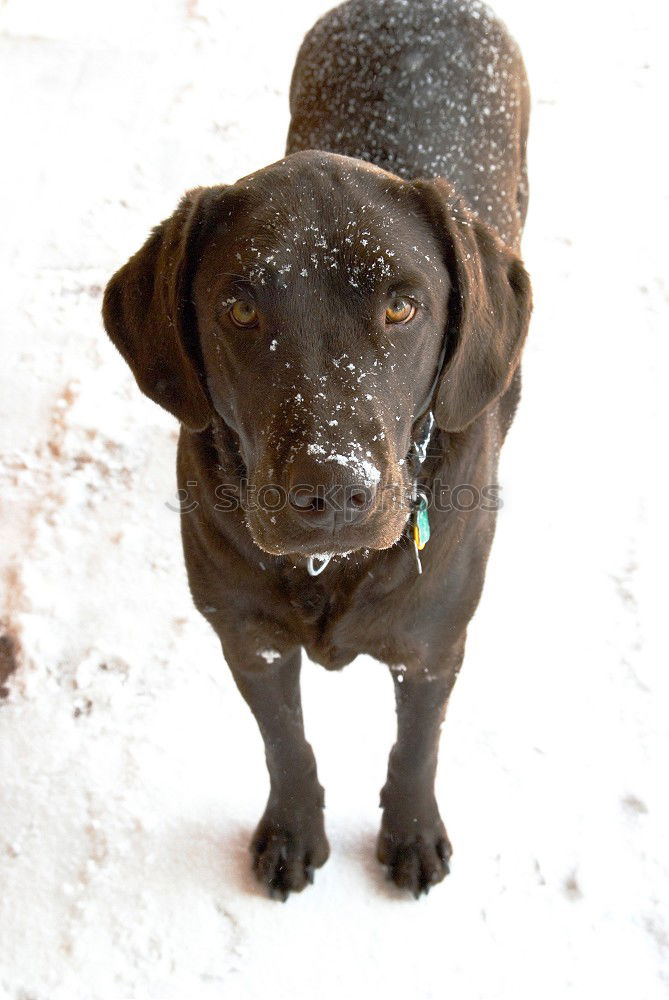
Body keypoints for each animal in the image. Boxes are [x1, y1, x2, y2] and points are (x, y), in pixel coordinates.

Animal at [103, 0, 532, 904]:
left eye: (403, 306)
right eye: (237, 308)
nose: (332, 490)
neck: (330, 569)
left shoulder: (432, 646)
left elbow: (415, 748)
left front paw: (411, 834)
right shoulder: (249, 639)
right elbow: (285, 744)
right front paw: (293, 831)